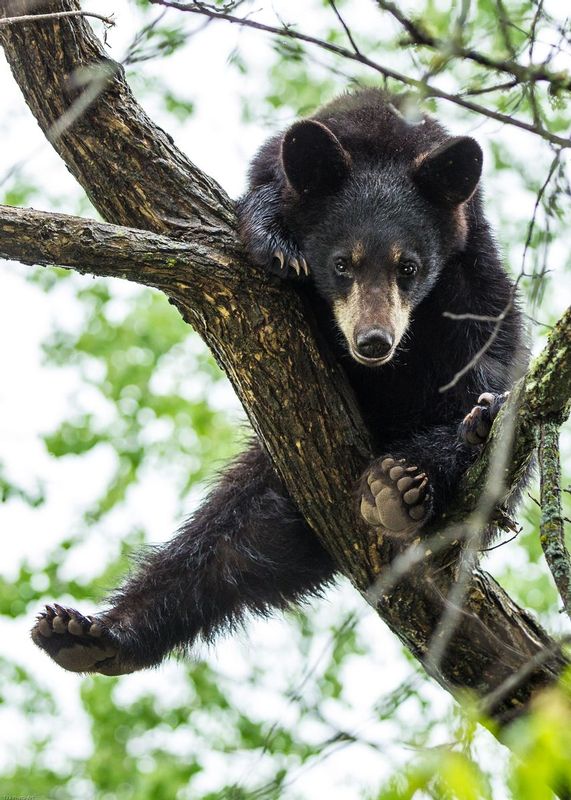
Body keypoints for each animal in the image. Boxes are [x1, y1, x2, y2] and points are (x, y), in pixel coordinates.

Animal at [30, 88, 526, 676]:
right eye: (342, 264)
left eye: (409, 267)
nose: (374, 342)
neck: (387, 141)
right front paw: (277, 242)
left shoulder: (474, 285)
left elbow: (488, 366)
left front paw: (475, 420)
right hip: (278, 480)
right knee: (227, 545)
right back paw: (92, 636)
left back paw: (404, 481)